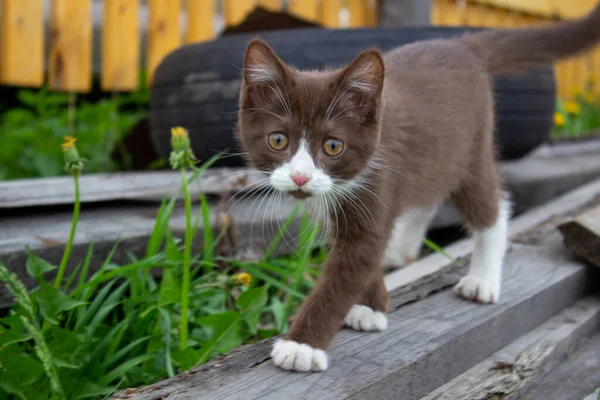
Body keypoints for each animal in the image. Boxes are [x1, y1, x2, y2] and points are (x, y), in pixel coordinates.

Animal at [236, 3, 600, 372]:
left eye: (333, 146)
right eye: (278, 140)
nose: (300, 177)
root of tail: (461, 46)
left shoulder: (378, 186)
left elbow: (349, 268)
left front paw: (302, 346)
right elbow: (365, 254)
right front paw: (371, 307)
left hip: (468, 151)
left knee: (492, 206)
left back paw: (483, 278)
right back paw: (403, 249)